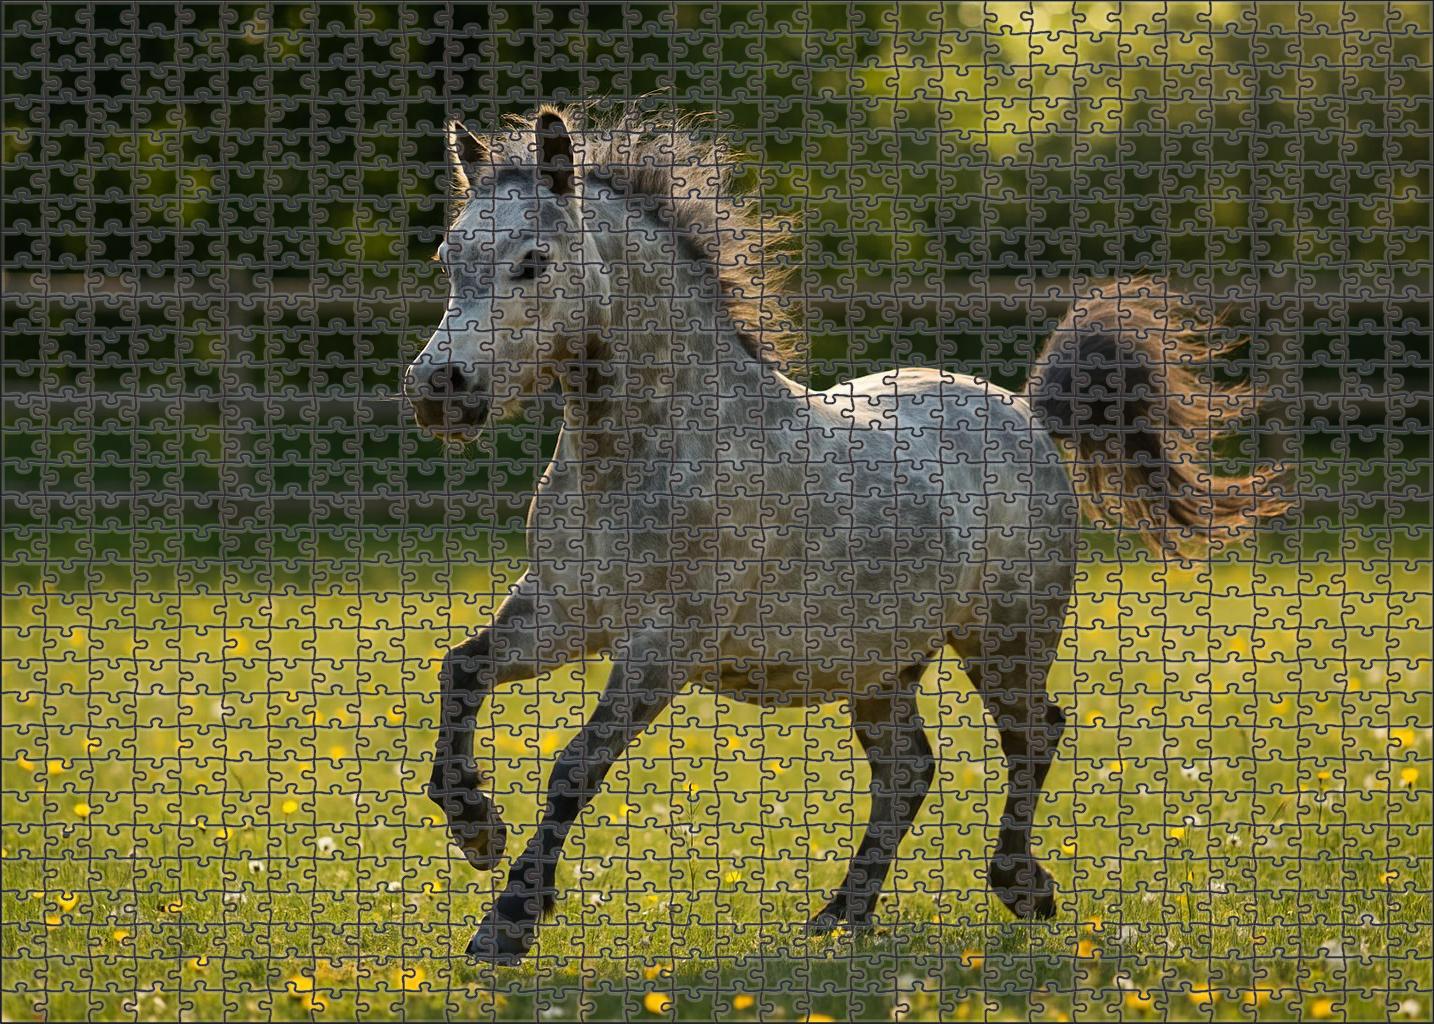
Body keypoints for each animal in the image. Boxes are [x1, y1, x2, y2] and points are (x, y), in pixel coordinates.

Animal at [403, 105, 1284, 965]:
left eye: (533, 262)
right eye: (450, 258)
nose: (439, 389)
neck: (645, 454)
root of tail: (1028, 413)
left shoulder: (665, 645)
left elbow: (574, 767)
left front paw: (507, 921)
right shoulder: (562, 612)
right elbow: (461, 671)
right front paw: (476, 829)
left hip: (1006, 636)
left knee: (1032, 736)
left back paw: (1018, 888)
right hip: (883, 662)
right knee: (907, 769)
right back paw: (844, 912)